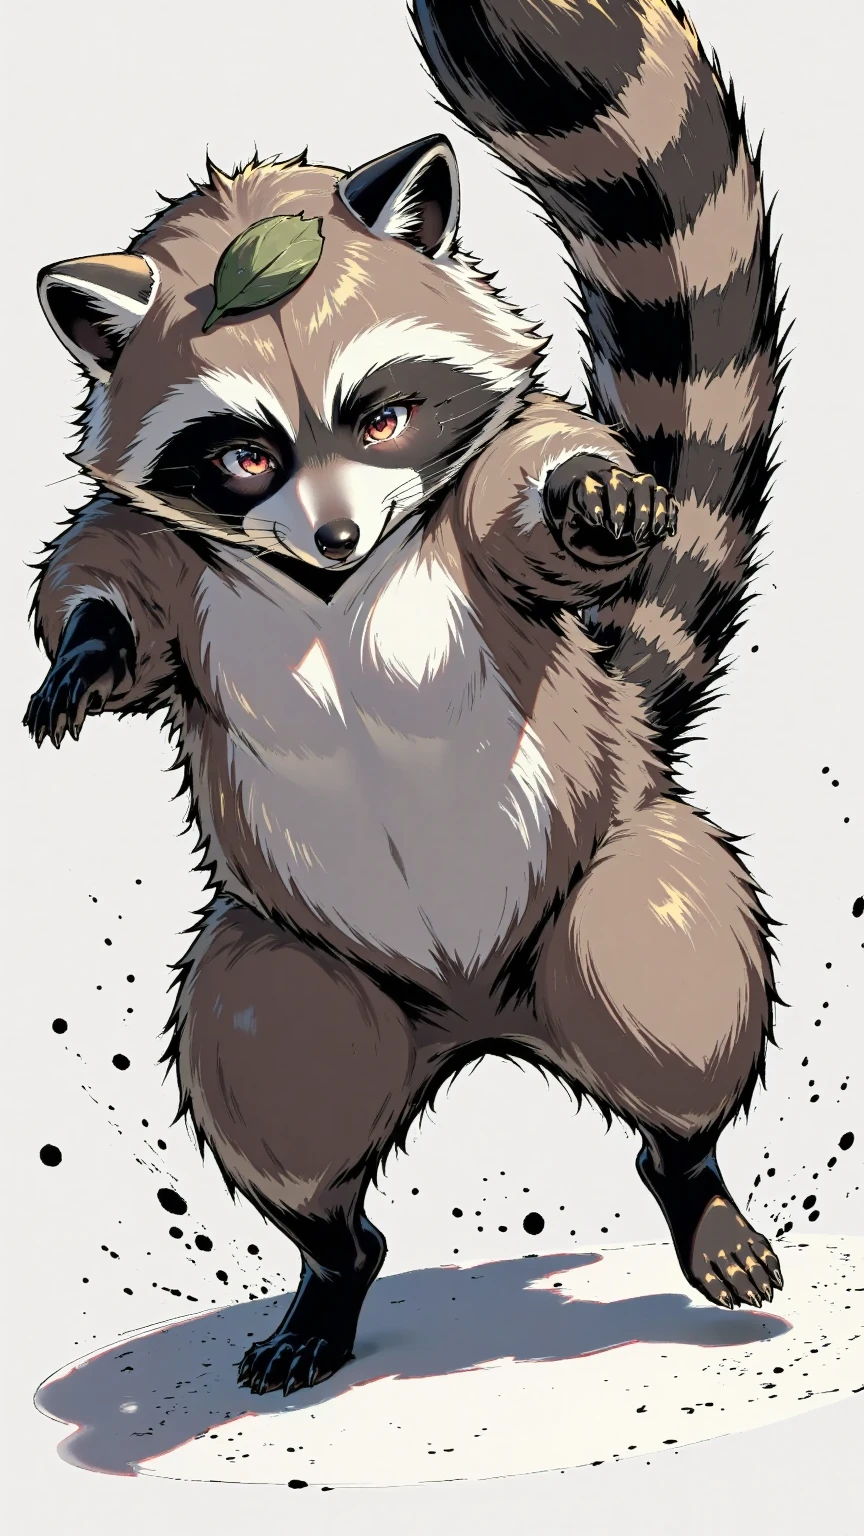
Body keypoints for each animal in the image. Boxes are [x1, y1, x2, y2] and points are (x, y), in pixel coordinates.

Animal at [26, 0, 786, 1396]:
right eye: (245, 452)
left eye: (379, 416)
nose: (332, 537)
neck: (333, 586)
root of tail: (480, 1018)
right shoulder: (170, 546)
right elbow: (104, 579)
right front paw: (89, 650)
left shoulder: (477, 510)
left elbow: (532, 491)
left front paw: (587, 496)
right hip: (304, 957)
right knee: (273, 1067)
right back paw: (331, 1265)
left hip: (606, 862)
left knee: (663, 962)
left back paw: (693, 1173)